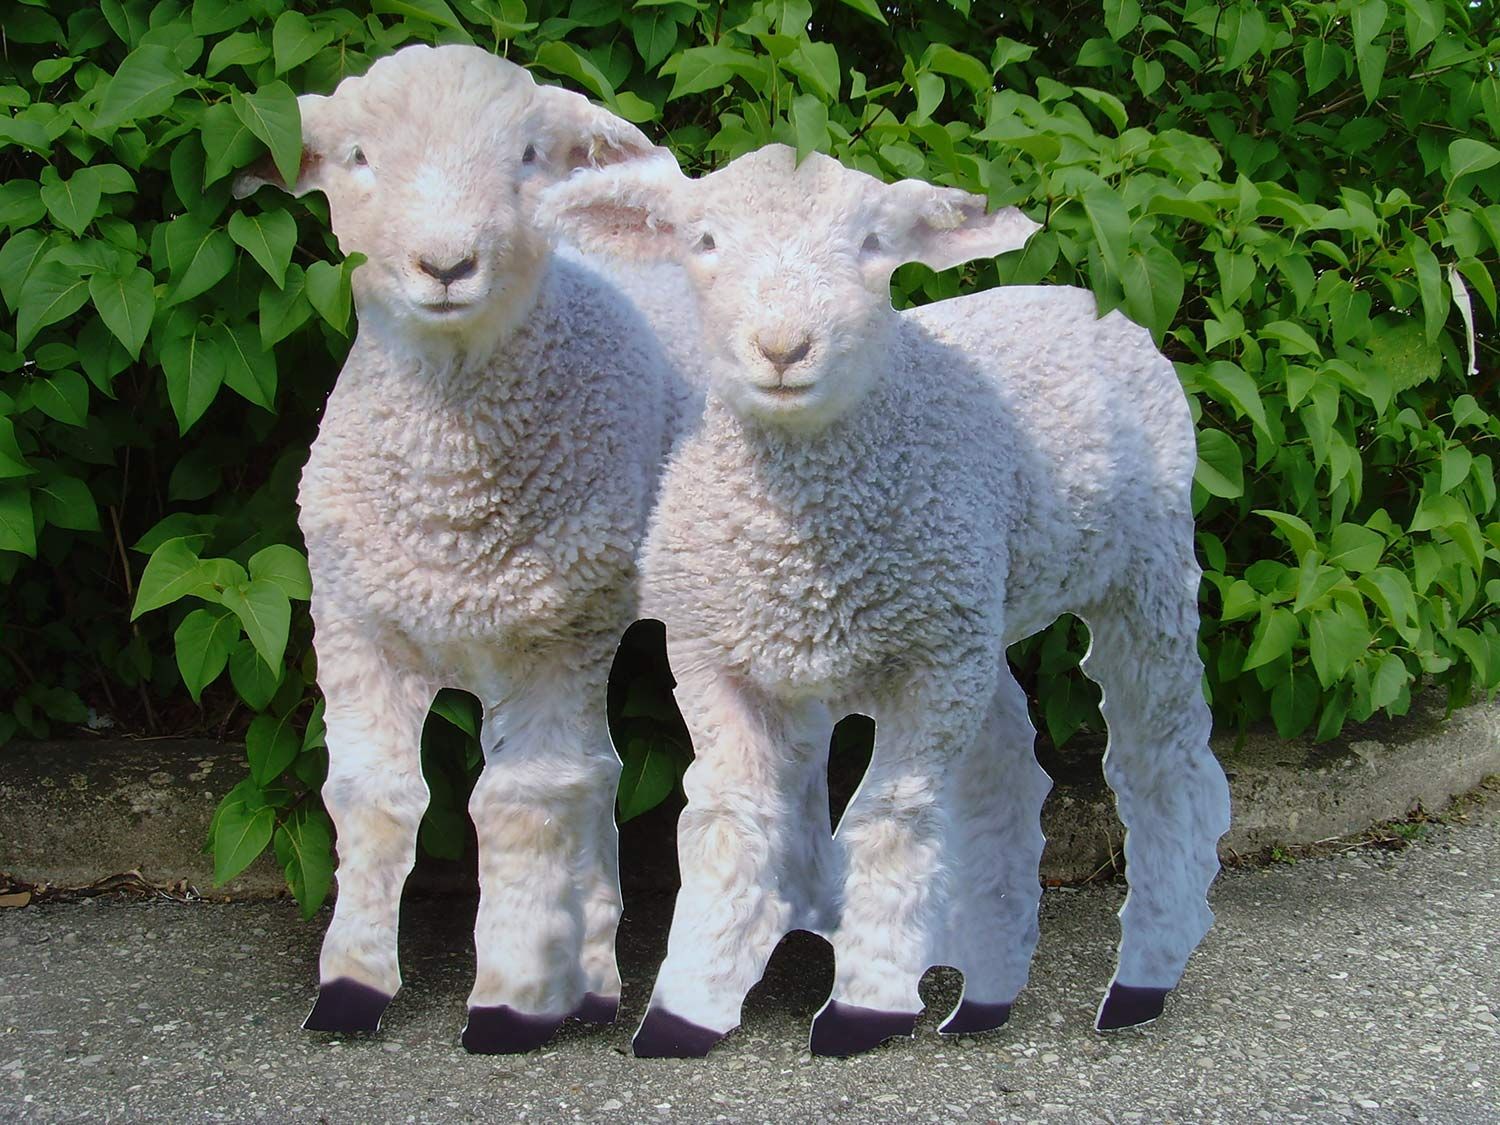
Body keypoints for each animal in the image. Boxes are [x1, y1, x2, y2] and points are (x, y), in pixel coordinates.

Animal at [234, 43, 696, 1054]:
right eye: (357, 156)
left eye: (527, 154)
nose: (446, 264)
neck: (448, 490)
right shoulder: (353, 629)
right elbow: (370, 798)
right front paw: (349, 988)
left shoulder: (549, 642)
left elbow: (520, 805)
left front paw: (509, 1002)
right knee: (601, 773)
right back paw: (594, 980)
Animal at [540, 144, 1233, 1058]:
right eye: (705, 240)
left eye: (875, 243)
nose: (783, 346)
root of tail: (1090, 299)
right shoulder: (716, 658)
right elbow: (729, 819)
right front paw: (685, 1007)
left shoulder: (930, 671)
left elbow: (889, 818)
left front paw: (862, 1003)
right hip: (974, 613)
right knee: (1005, 769)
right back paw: (983, 995)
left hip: (1141, 570)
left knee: (1165, 759)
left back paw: (1144, 975)